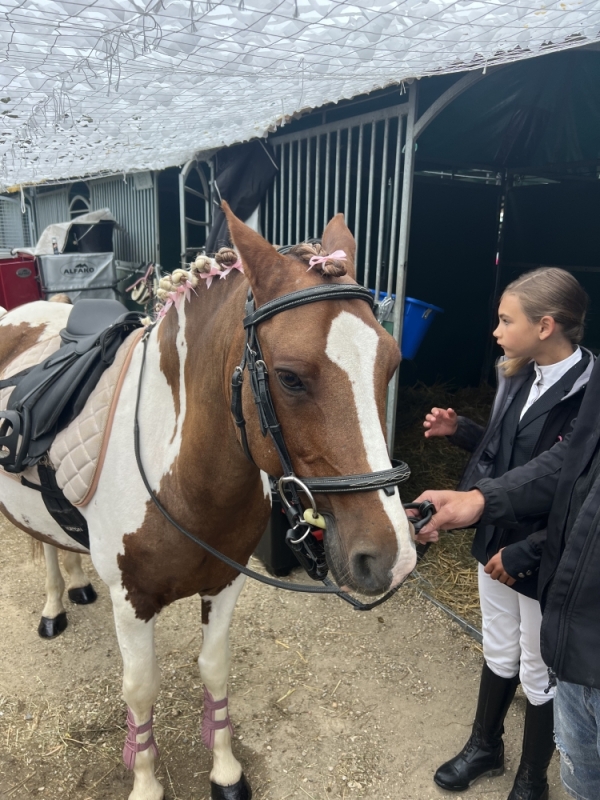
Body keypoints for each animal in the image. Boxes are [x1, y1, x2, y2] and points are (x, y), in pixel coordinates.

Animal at [0, 206, 414, 800]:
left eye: (391, 363)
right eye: (289, 377)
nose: (392, 557)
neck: (181, 476)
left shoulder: (226, 581)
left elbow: (215, 670)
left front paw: (225, 770)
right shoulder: (131, 601)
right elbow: (141, 690)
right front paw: (146, 783)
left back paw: (77, 586)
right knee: (46, 547)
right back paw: (55, 605)